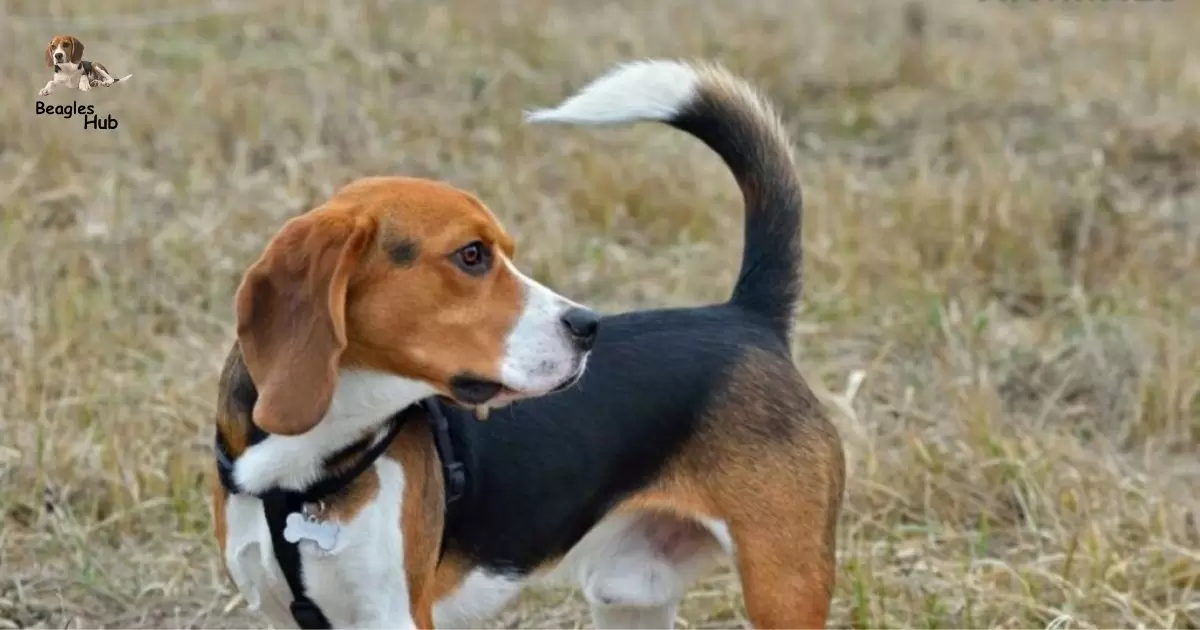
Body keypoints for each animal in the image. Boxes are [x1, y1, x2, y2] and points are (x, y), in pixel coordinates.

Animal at [211, 60, 844, 628]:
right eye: (472, 255)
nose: (588, 326)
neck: (303, 474)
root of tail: (748, 316)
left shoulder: (394, 616)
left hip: (783, 584)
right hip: (631, 592)